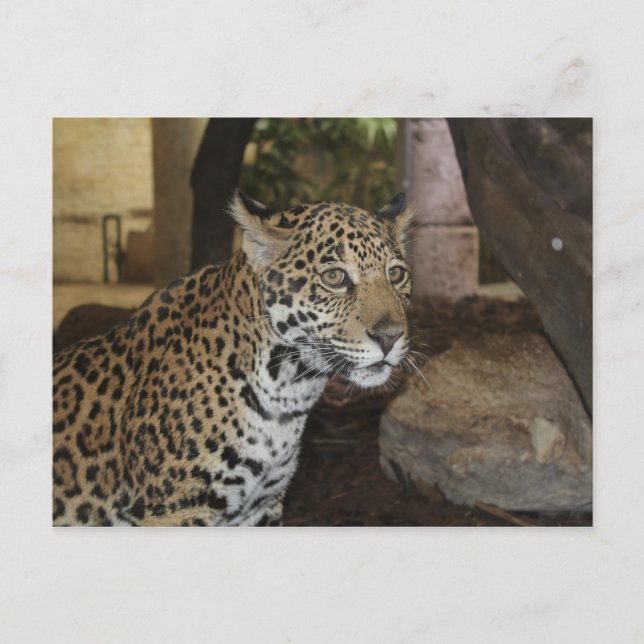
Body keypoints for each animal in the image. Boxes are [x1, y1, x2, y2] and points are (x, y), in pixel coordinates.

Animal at [52, 191, 413, 526]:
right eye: (334, 277)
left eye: (396, 274)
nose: (390, 337)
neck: (286, 392)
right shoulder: (174, 509)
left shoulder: (260, 505)